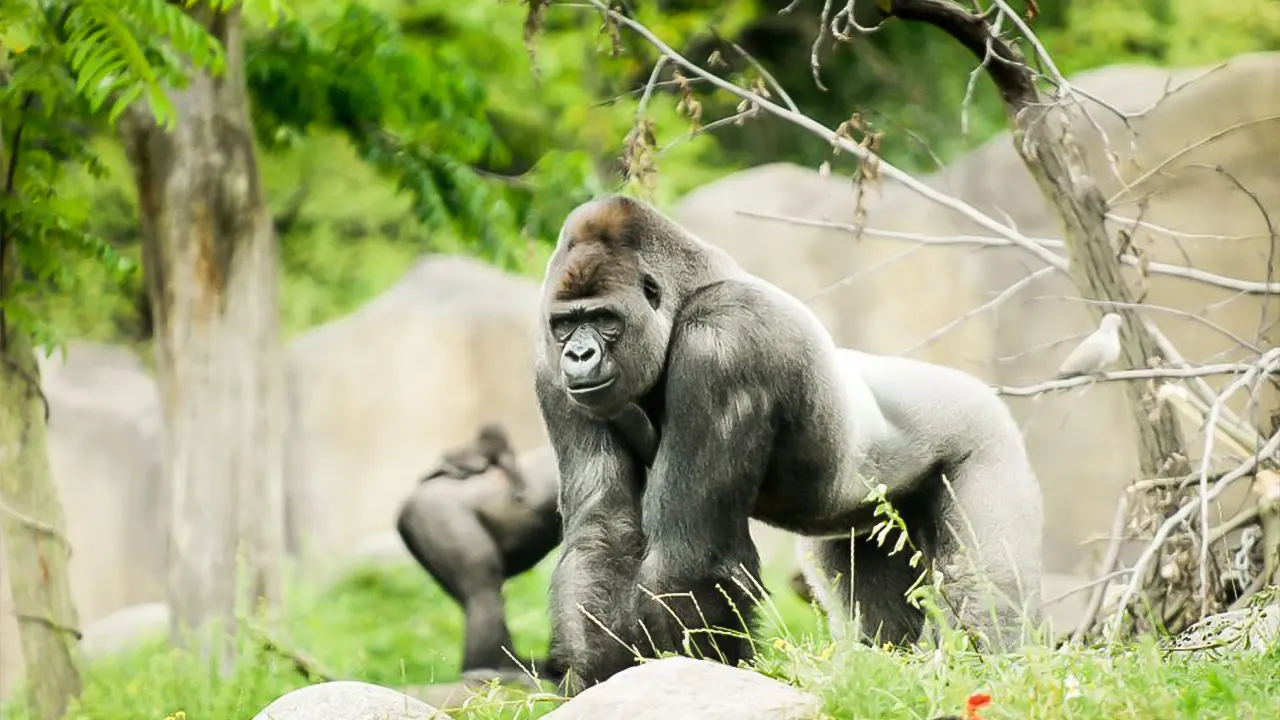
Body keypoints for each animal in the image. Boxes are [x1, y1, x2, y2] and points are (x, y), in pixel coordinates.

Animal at [535, 193, 1044, 691]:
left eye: (605, 319)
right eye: (565, 324)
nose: (579, 354)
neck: (687, 295)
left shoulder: (725, 344)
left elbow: (689, 555)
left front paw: (694, 673)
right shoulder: (549, 368)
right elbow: (603, 531)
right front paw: (597, 678)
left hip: (984, 432)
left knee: (981, 588)